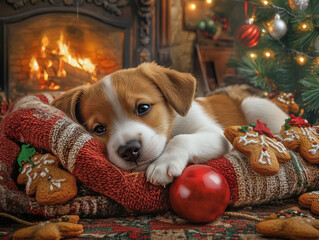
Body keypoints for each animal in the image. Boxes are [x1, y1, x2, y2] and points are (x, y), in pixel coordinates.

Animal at [52, 62, 288, 186]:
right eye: (99, 129)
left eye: (143, 107)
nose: (129, 150)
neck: (173, 126)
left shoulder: (216, 134)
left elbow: (182, 139)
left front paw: (163, 164)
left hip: (256, 106)